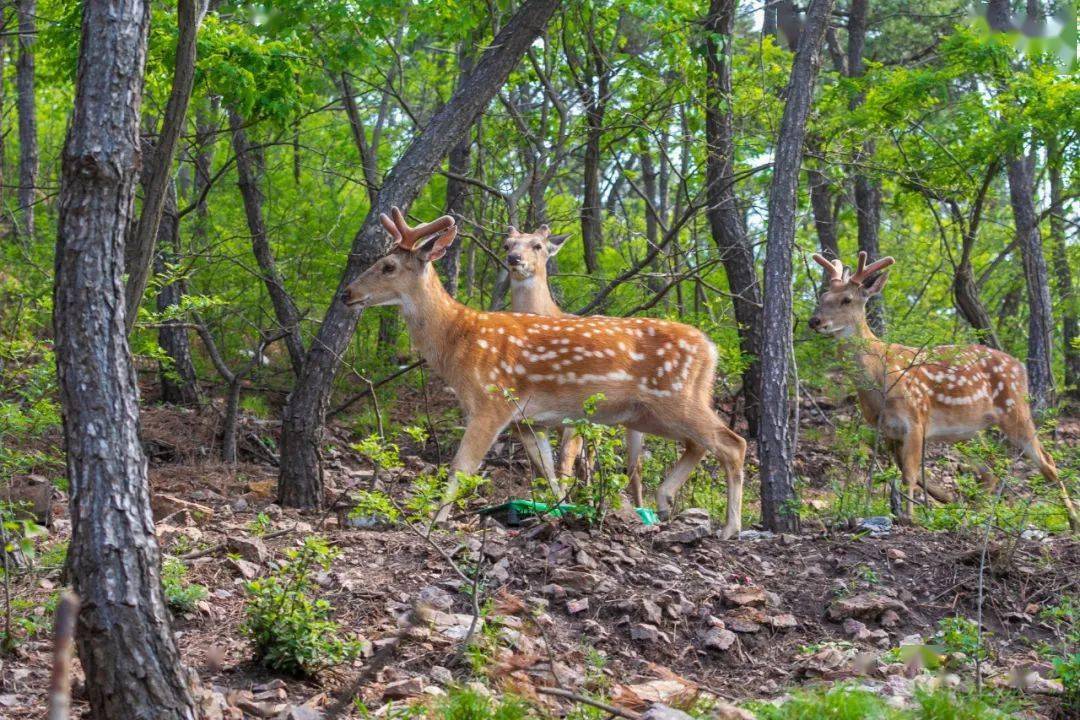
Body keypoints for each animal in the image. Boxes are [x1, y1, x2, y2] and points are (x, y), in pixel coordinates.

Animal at [503, 225, 643, 507]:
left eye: (538, 245)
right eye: (507, 244)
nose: (514, 258)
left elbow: (565, 458)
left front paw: (565, 504)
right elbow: (544, 464)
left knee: (634, 468)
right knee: (591, 457)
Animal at [812, 250, 1080, 533]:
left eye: (847, 299)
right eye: (823, 297)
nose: (814, 320)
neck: (878, 377)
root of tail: (1020, 366)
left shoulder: (916, 418)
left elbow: (909, 473)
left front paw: (910, 517)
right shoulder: (886, 430)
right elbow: (900, 472)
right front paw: (900, 512)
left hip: (1015, 409)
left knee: (1047, 461)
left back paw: (1072, 522)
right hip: (969, 432)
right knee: (990, 471)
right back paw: (975, 517)